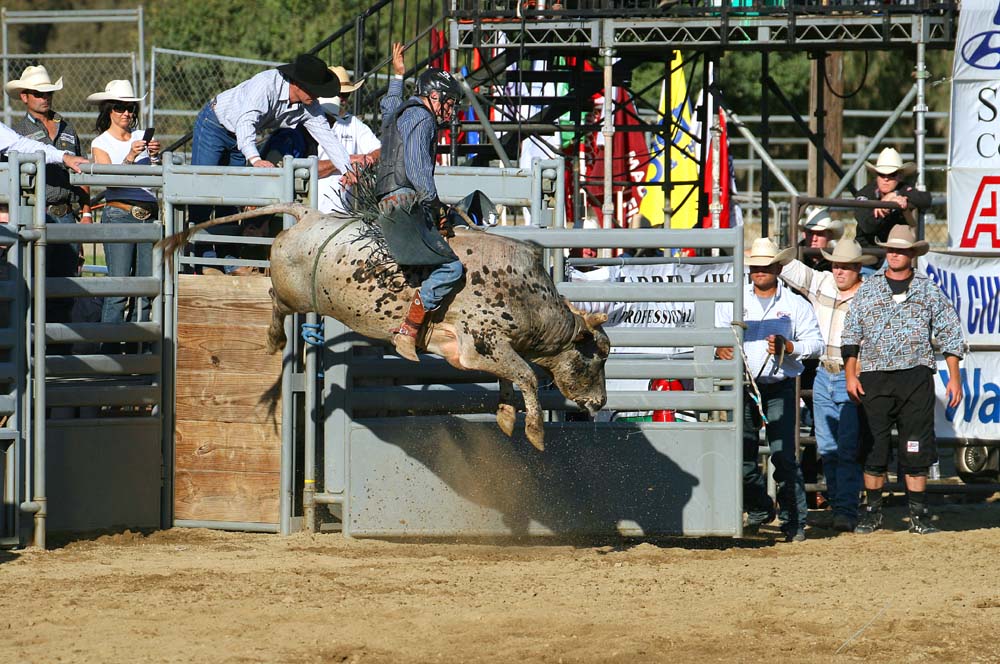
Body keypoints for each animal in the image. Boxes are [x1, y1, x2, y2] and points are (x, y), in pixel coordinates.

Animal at [156, 202, 608, 452]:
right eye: (594, 359)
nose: (601, 403)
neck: (528, 296)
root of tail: (308, 214)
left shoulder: (474, 353)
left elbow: (511, 377)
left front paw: (506, 417)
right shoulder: (478, 345)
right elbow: (527, 375)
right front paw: (534, 432)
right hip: (291, 291)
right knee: (273, 300)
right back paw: (273, 338)